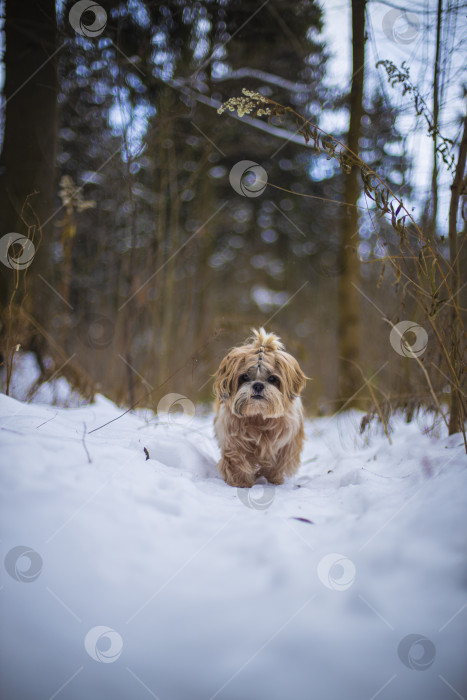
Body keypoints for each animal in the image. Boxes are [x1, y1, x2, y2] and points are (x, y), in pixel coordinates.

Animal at [215, 330, 308, 486]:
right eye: (244, 377)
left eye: (272, 379)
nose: (258, 385)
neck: (259, 416)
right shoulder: (233, 438)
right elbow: (237, 459)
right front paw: (241, 482)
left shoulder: (286, 443)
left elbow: (278, 463)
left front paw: (273, 479)